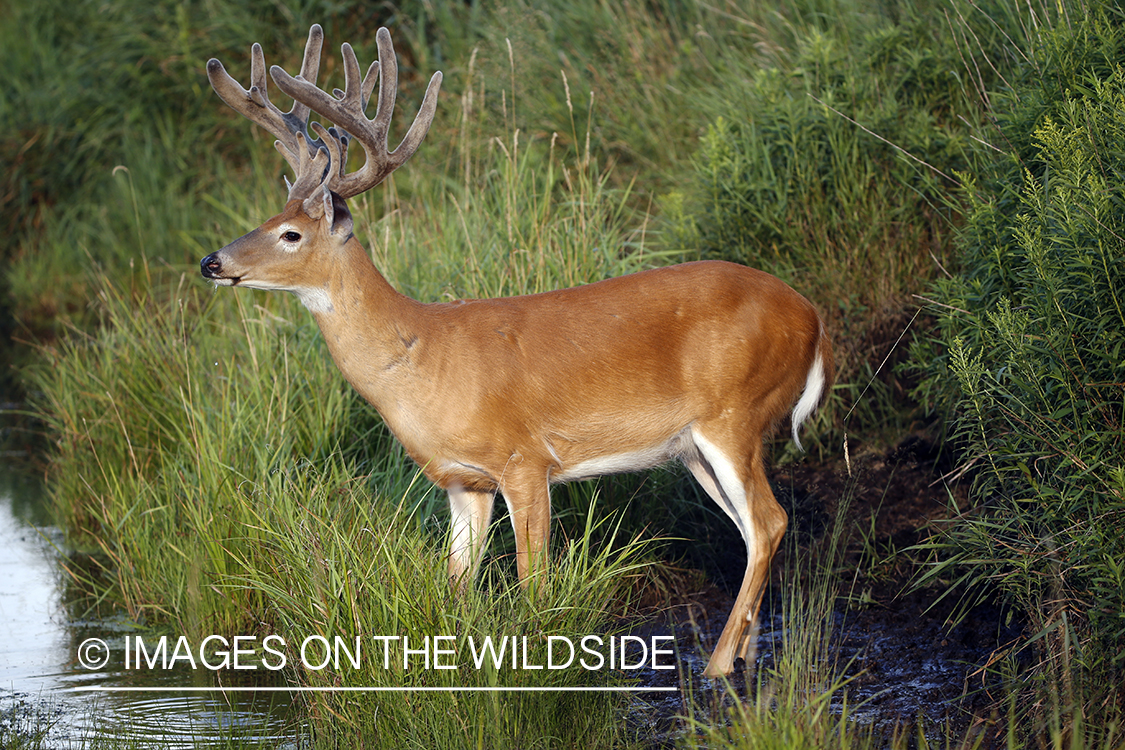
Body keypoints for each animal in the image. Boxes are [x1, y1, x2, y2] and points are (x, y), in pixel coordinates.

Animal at [200, 26, 837, 679]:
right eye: (269, 216)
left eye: (291, 234)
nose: (212, 262)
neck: (421, 356)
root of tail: (815, 320)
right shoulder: (464, 482)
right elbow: (455, 587)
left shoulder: (525, 459)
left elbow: (535, 586)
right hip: (692, 447)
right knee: (751, 531)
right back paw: (745, 659)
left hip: (733, 414)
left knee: (770, 521)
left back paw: (716, 667)